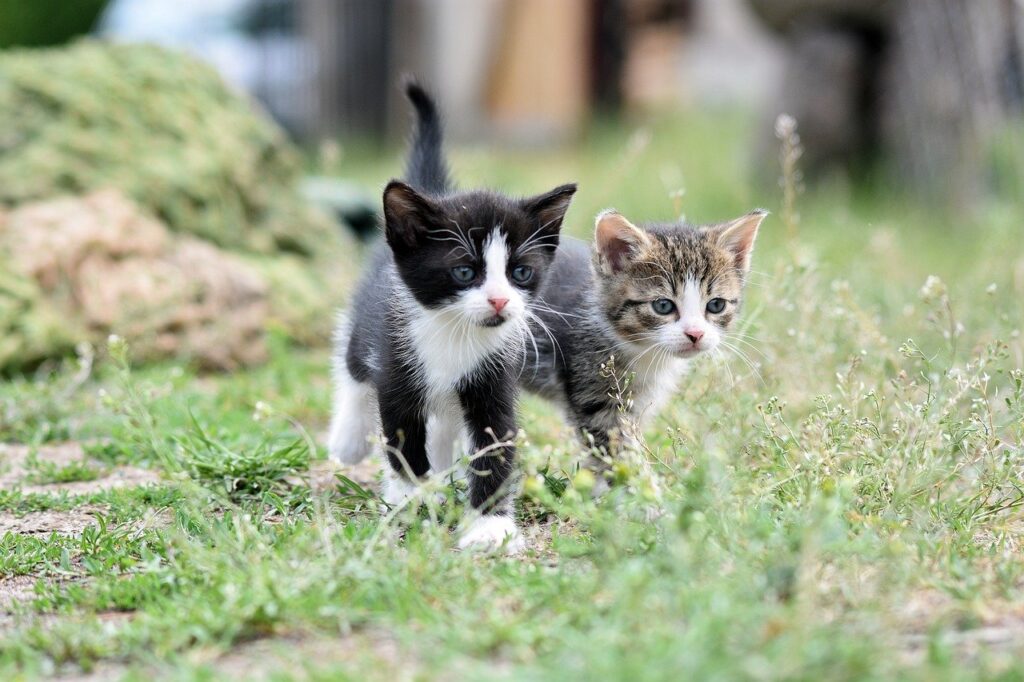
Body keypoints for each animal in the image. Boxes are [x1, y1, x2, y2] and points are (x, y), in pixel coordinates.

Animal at [327, 82, 577, 548]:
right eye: (464, 271)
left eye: (520, 272)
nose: (499, 301)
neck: (454, 334)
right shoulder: (396, 369)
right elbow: (403, 443)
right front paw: (412, 499)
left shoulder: (493, 379)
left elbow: (494, 444)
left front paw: (489, 525)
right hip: (367, 329)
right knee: (352, 367)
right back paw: (349, 439)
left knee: (443, 424)